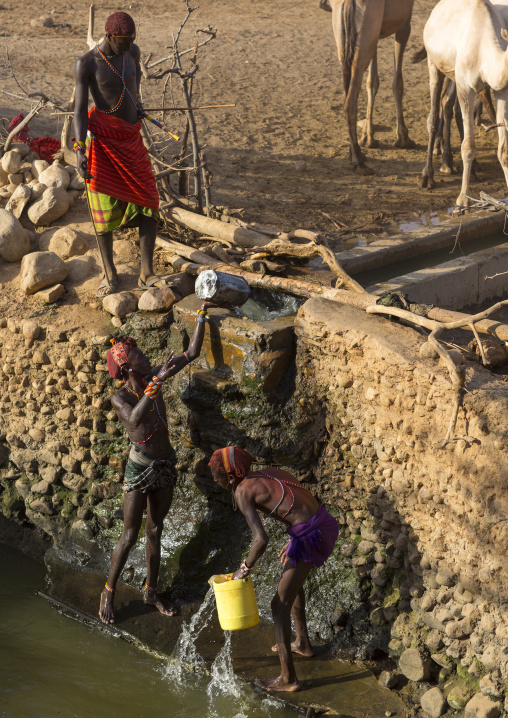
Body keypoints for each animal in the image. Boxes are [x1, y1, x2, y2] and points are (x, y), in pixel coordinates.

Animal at [326, 0, 416, 174]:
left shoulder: (376, 36)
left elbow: (372, 82)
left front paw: (368, 138)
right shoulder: (404, 26)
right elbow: (397, 83)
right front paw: (404, 138)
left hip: (346, 46)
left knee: (347, 90)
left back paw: (354, 153)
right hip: (364, 44)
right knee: (350, 103)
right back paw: (360, 163)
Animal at [420, 0, 508, 209]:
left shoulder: (501, 89)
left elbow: (504, 150)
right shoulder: (465, 86)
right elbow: (468, 147)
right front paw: (462, 200)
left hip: (452, 72)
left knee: (450, 108)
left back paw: (471, 168)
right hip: (434, 63)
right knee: (434, 116)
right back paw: (428, 177)